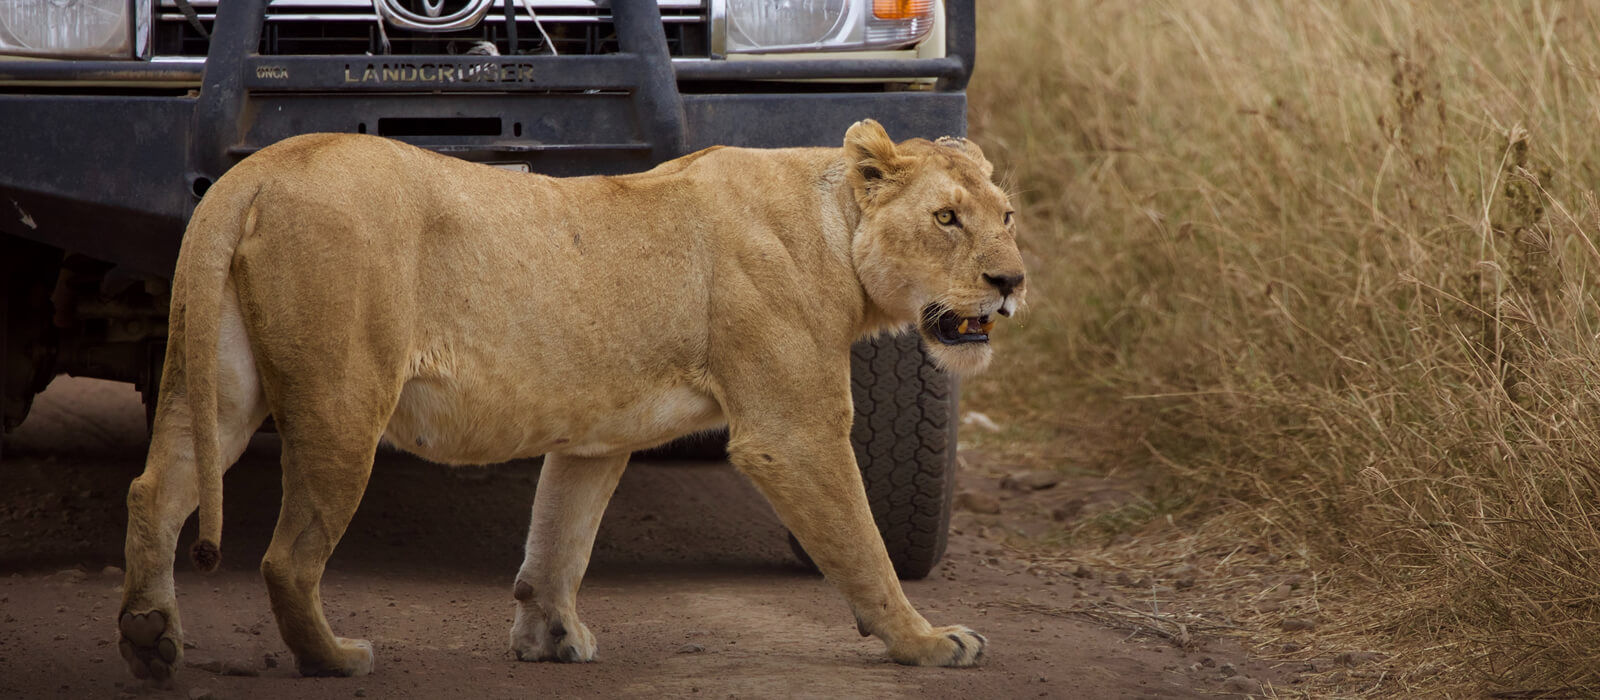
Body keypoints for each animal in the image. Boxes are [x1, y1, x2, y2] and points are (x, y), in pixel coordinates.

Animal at [115, 119, 1026, 681]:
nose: (1011, 282)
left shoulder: (595, 435)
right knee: (286, 557)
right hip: (343, 400)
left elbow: (560, 537)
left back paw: (150, 640)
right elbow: (864, 548)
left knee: (155, 489)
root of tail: (256, 169)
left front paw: (549, 637)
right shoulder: (792, 431)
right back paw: (333, 659)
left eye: (1008, 216)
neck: (834, 223)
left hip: (222, 384)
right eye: (947, 219)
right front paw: (927, 641)